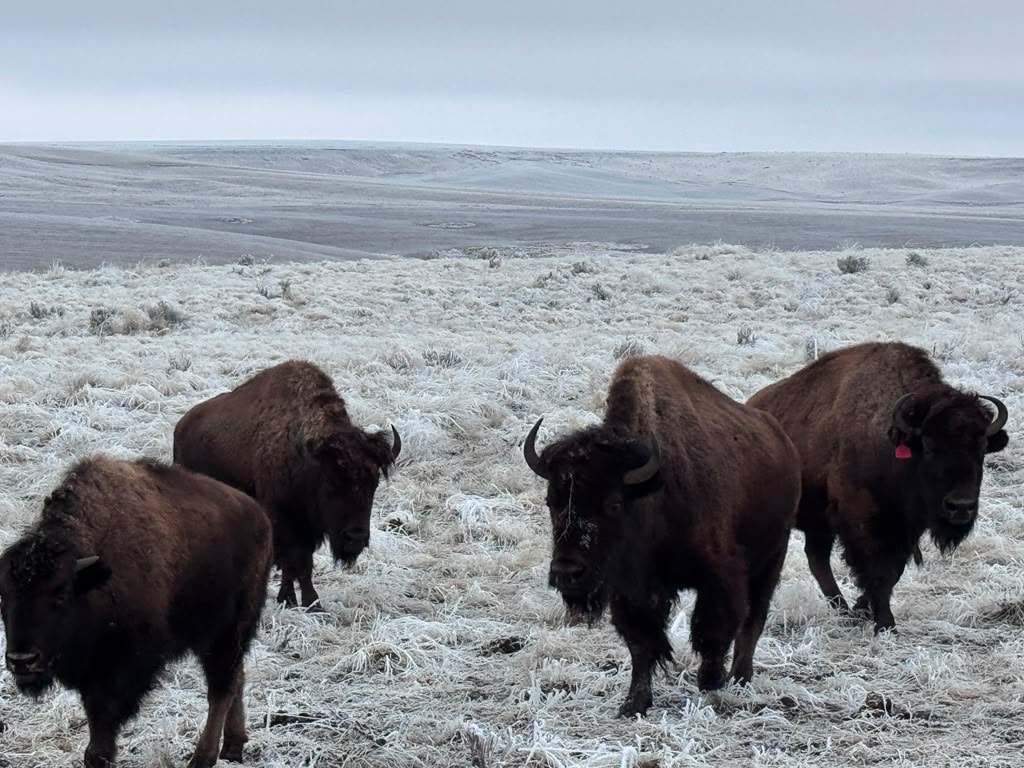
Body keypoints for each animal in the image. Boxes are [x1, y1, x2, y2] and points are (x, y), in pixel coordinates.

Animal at [0, 455, 272, 768]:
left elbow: (103, 719)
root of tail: (260, 517)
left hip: (226, 632)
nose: (22, 660)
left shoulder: (121, 667)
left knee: (221, 688)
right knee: (236, 678)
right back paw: (233, 746)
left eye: (60, 593)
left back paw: (203, 757)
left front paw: (100, 755)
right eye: (2, 597)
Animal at [173, 360, 401, 610]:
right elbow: (294, 560)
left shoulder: (305, 527)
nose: (356, 538)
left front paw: (299, 601)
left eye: (374, 483)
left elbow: (299, 563)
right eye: (332, 481)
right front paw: (304, 602)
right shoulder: (284, 521)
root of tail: (181, 427)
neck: (307, 461)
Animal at [523, 354, 801, 717]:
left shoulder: (720, 576)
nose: (567, 572)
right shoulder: (632, 590)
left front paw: (710, 683)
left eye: (614, 503)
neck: (651, 492)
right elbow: (642, 643)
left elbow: (712, 631)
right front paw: (634, 704)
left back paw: (740, 678)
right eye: (551, 501)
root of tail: (783, 441)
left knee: (753, 620)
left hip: (771, 558)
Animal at [747, 341, 1009, 634]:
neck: (890, 443)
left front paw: (864, 610)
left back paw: (844, 611)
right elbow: (877, 571)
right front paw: (885, 624)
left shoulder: (905, 529)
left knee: (817, 560)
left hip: (819, 524)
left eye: (982, 448)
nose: (960, 507)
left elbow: (893, 571)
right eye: (928, 446)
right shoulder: (862, 522)